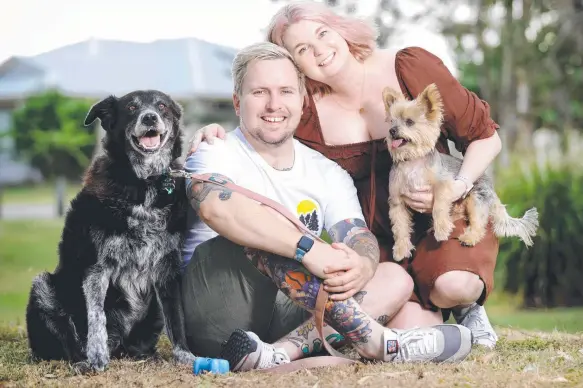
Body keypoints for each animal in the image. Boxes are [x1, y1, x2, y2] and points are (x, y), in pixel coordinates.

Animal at [24, 89, 196, 372]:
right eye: (131, 107)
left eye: (162, 106)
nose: (150, 117)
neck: (144, 184)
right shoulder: (96, 268)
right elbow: (96, 317)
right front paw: (96, 357)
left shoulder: (167, 269)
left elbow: (176, 318)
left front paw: (186, 355)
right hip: (43, 286)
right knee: (69, 339)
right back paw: (82, 360)